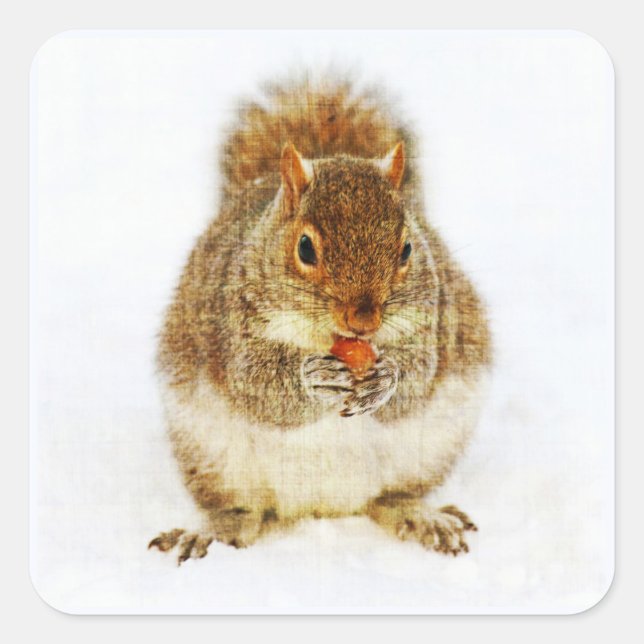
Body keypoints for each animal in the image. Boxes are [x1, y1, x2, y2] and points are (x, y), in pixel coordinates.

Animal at [149, 76, 491, 564]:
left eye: (407, 248)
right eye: (305, 248)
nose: (363, 320)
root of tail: (323, 506)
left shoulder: (434, 323)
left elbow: (416, 381)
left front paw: (386, 378)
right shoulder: (231, 323)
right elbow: (260, 387)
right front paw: (314, 379)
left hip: (430, 449)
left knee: (389, 498)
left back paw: (421, 516)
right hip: (211, 455)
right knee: (242, 510)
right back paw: (213, 531)